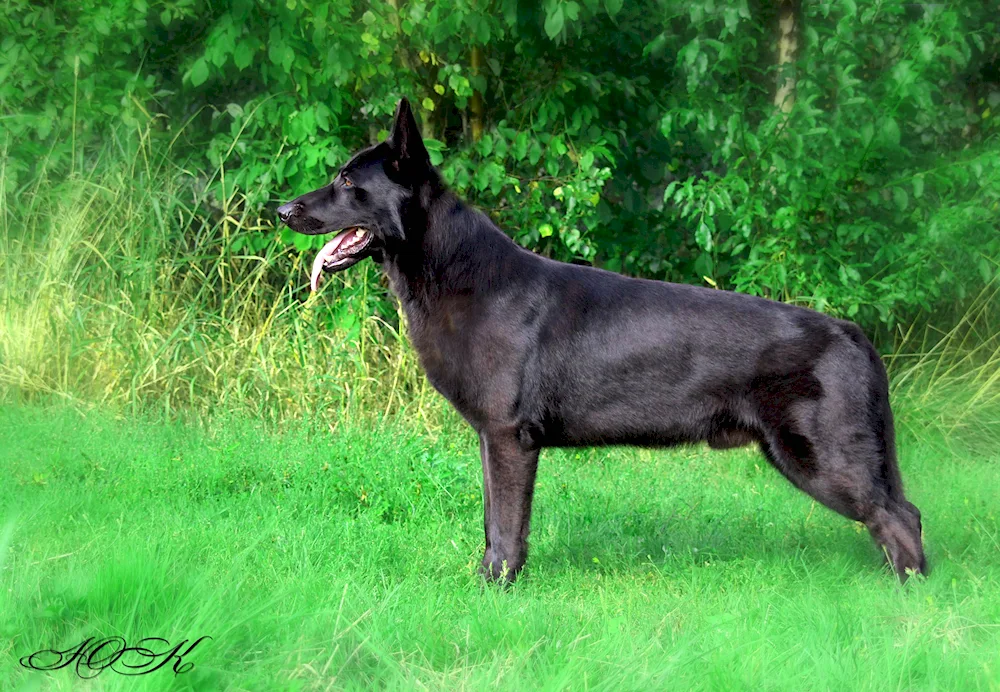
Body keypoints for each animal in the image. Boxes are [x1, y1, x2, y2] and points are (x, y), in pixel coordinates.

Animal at [276, 98, 928, 584]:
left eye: (345, 180)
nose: (281, 209)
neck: (455, 271)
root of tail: (850, 332)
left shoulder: (510, 438)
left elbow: (507, 526)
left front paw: (498, 591)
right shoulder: (491, 438)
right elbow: (491, 521)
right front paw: (485, 582)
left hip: (821, 457)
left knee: (898, 516)